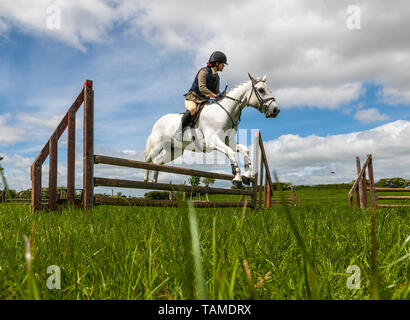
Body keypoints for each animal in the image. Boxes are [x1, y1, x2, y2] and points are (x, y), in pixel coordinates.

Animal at [143, 72, 280, 188]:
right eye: (261, 90)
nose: (275, 110)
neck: (225, 111)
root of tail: (157, 122)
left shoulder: (228, 141)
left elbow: (244, 150)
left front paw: (246, 176)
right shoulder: (212, 141)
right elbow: (230, 152)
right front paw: (237, 178)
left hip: (174, 151)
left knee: (158, 161)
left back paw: (154, 181)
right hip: (157, 146)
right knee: (149, 159)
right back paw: (145, 179)